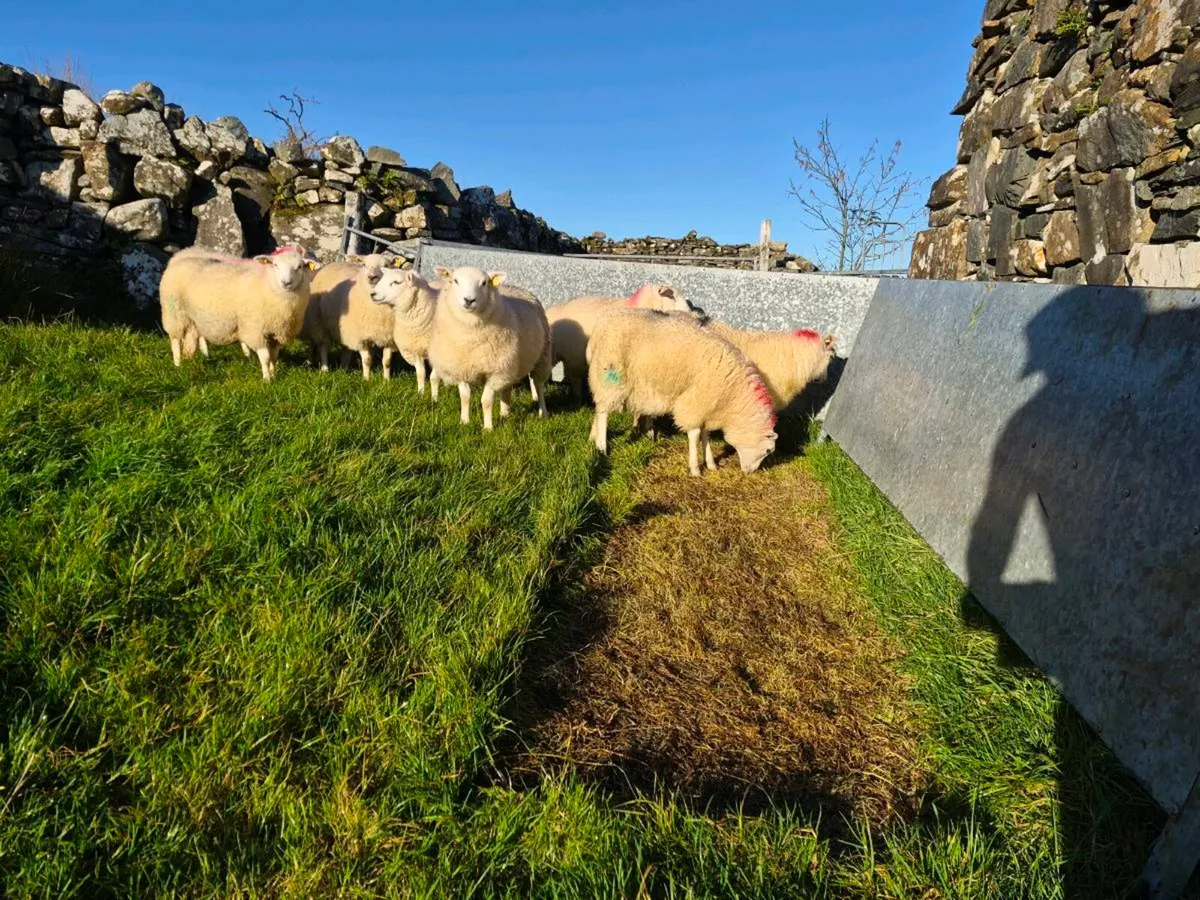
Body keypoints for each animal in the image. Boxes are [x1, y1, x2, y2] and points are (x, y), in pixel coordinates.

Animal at [159, 245, 320, 381]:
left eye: (299, 267)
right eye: (275, 265)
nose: (286, 283)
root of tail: (178, 258)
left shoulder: (277, 333)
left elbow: (274, 357)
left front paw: (274, 374)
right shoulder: (255, 330)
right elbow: (265, 357)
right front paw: (267, 379)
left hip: (193, 320)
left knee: (192, 339)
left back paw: (194, 359)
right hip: (173, 313)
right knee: (175, 340)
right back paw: (178, 364)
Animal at [368, 266, 441, 398]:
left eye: (396, 282)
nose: (372, 294)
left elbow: (434, 377)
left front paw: (435, 398)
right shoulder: (415, 350)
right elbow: (420, 374)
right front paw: (421, 394)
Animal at [427, 265, 553, 431]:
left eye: (484, 283)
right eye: (455, 280)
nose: (469, 300)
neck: (469, 338)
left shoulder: (495, 372)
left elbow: (486, 401)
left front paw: (488, 428)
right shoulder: (461, 369)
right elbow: (465, 397)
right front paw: (464, 421)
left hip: (541, 355)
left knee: (538, 384)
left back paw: (543, 412)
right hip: (511, 364)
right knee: (507, 387)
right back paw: (505, 413)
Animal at [586, 308, 778, 477]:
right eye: (768, 450)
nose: (750, 472)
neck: (734, 396)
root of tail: (600, 324)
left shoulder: (707, 408)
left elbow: (706, 435)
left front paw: (711, 464)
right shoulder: (695, 402)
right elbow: (695, 435)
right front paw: (695, 469)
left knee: (598, 407)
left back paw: (592, 439)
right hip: (610, 376)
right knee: (603, 412)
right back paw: (602, 446)